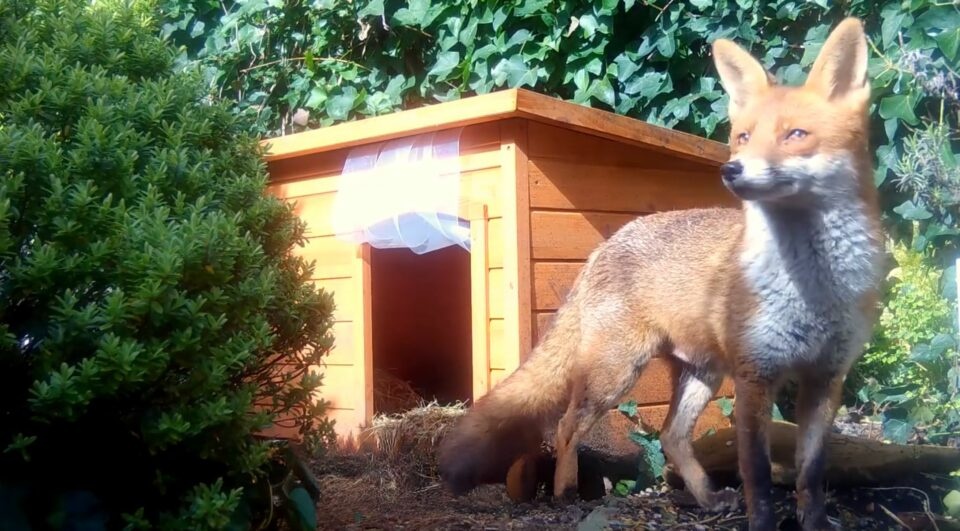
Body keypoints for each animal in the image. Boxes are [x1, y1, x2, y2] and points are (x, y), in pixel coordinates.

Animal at [438, 15, 880, 531]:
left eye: (796, 135)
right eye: (743, 137)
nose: (732, 170)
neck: (812, 290)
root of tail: (604, 245)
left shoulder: (826, 378)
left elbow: (811, 475)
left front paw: (814, 522)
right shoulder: (755, 376)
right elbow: (758, 474)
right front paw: (762, 522)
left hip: (701, 373)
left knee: (670, 436)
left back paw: (706, 498)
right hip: (618, 373)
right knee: (569, 424)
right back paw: (566, 493)